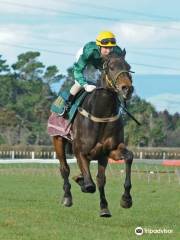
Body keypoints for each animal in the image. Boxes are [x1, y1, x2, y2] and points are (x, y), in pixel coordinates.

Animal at [52, 51, 134, 218]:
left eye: (128, 66)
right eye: (111, 67)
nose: (127, 89)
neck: (101, 113)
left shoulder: (109, 151)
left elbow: (125, 160)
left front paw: (123, 200)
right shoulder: (79, 151)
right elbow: (90, 185)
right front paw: (82, 182)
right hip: (58, 140)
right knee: (64, 169)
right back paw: (67, 197)